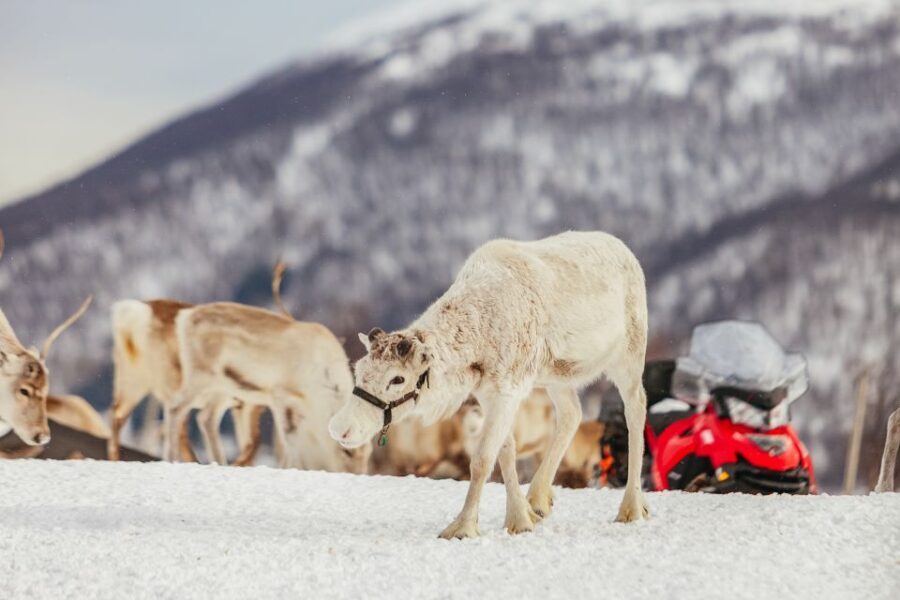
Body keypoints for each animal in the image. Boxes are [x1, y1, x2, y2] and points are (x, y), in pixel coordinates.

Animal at [164, 301, 371, 473]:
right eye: (346, 452)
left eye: (368, 455)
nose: (355, 474)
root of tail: (185, 317)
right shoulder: (280, 395)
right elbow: (289, 439)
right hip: (201, 376)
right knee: (175, 407)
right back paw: (172, 459)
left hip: (223, 389)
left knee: (206, 418)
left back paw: (220, 462)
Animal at [329, 231, 650, 538]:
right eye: (359, 369)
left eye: (397, 378)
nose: (340, 428)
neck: (478, 336)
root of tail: (627, 252)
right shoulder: (488, 393)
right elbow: (506, 451)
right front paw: (520, 518)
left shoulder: (508, 390)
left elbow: (483, 459)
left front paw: (463, 527)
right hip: (556, 376)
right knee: (572, 414)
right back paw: (538, 499)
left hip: (629, 356)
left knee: (636, 409)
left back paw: (632, 507)